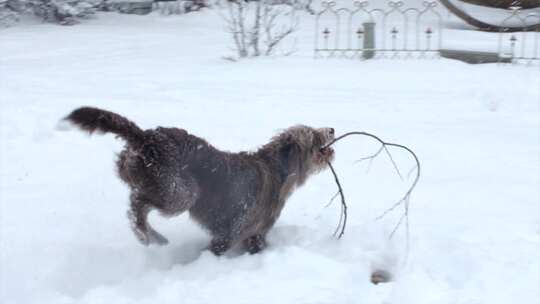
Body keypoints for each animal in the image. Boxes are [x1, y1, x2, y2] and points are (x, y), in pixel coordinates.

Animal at [63, 107, 334, 254]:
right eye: (312, 135)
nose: (331, 129)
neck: (277, 168)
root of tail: (146, 138)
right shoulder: (239, 231)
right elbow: (225, 246)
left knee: (136, 199)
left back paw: (151, 235)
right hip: (179, 192)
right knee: (137, 203)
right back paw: (148, 235)